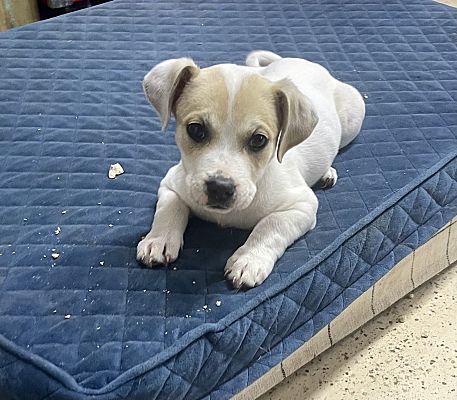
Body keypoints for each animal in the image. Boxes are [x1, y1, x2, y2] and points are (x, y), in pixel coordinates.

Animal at [135, 50, 364, 288]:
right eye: (195, 129)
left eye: (258, 140)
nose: (219, 188)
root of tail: (307, 63)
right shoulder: (171, 183)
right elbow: (169, 208)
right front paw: (158, 239)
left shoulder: (302, 206)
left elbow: (270, 225)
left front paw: (249, 260)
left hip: (351, 123)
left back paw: (327, 171)